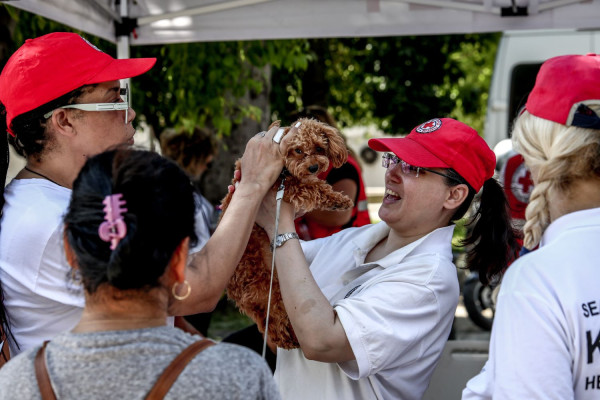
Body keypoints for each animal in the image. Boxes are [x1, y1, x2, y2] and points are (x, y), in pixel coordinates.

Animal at [220, 117, 354, 348]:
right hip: (266, 289)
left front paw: (338, 200)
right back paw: (290, 340)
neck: (284, 170)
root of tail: (231, 289)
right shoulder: (287, 186)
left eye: (319, 148)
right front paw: (339, 201)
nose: (313, 167)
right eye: (297, 150)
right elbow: (314, 187)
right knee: (276, 321)